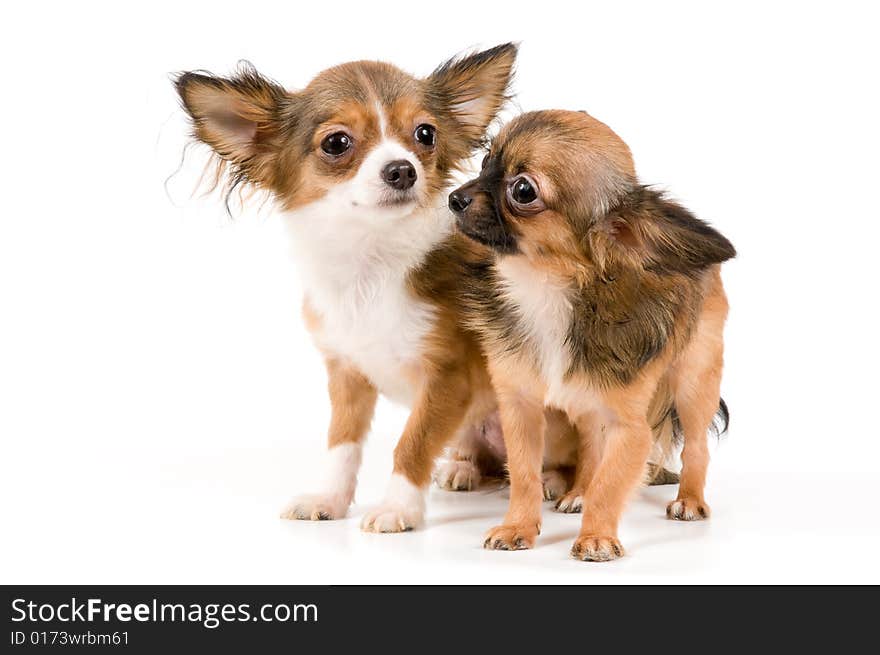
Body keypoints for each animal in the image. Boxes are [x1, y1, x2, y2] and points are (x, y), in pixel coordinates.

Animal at [179, 43, 524, 532]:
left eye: (425, 134)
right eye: (336, 142)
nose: (402, 170)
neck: (371, 267)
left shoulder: (448, 378)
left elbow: (412, 442)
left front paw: (398, 507)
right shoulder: (346, 373)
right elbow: (341, 443)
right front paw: (329, 498)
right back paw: (464, 467)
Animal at [450, 110, 732, 560]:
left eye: (523, 191)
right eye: (485, 161)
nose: (455, 198)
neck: (547, 287)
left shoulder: (629, 428)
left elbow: (611, 485)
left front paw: (597, 536)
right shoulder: (522, 408)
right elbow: (526, 475)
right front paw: (518, 527)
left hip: (693, 382)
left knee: (696, 448)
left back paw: (689, 499)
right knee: (589, 447)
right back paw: (577, 490)